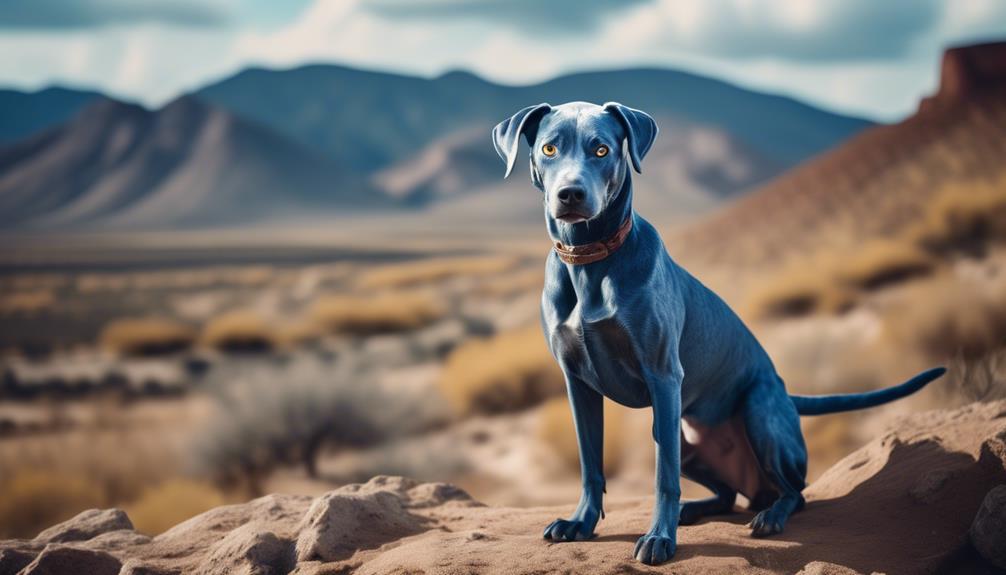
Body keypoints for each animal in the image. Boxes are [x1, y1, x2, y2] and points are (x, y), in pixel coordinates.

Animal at [490, 101, 945, 562]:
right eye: (549, 148)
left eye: (601, 150)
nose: (571, 195)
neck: (588, 261)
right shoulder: (577, 384)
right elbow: (590, 464)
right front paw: (580, 523)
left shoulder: (663, 376)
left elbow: (663, 478)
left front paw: (659, 538)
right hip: (683, 437)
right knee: (728, 495)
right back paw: (694, 510)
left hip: (755, 414)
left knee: (795, 492)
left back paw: (768, 517)